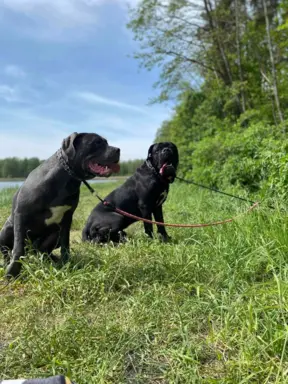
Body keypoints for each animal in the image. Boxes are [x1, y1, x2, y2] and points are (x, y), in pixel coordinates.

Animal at [0, 134, 120, 278]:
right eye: (97, 142)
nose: (118, 150)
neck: (68, 176)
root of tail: (32, 249)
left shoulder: (66, 219)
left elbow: (65, 244)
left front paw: (66, 264)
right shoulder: (21, 214)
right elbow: (18, 248)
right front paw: (12, 272)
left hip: (53, 235)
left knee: (43, 251)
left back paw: (52, 260)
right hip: (5, 231)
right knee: (8, 252)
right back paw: (7, 264)